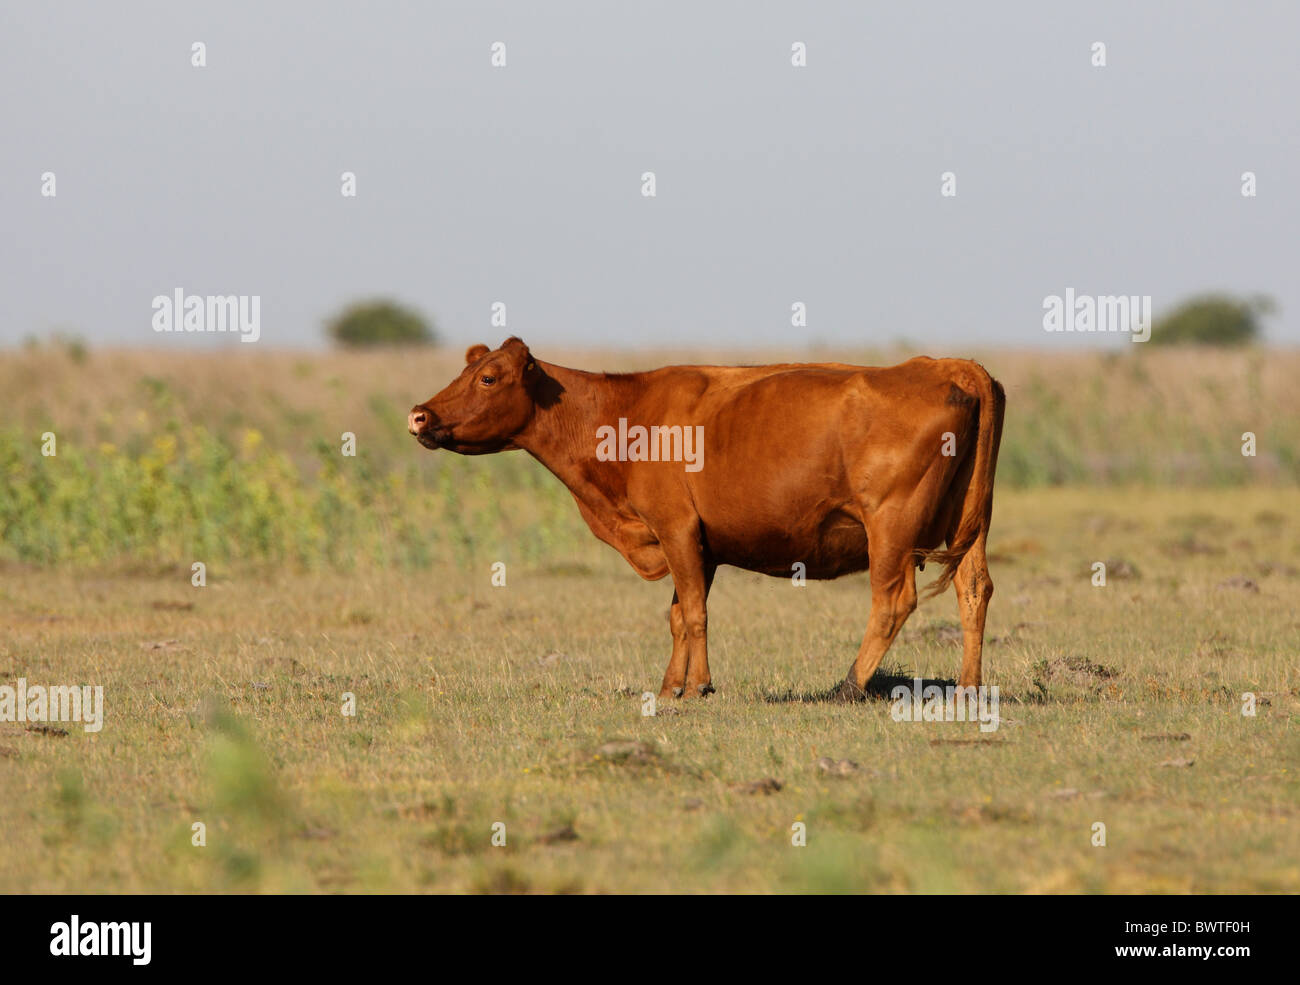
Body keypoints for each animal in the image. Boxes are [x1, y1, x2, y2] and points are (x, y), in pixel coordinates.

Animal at [408, 337, 1005, 701]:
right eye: (466, 370)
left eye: (489, 378)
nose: (419, 414)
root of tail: (949, 365)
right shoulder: (702, 543)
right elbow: (678, 613)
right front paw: (670, 685)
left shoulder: (675, 528)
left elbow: (693, 612)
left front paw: (698, 686)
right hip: (968, 527)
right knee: (974, 590)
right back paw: (969, 687)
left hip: (892, 526)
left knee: (892, 600)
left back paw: (847, 687)